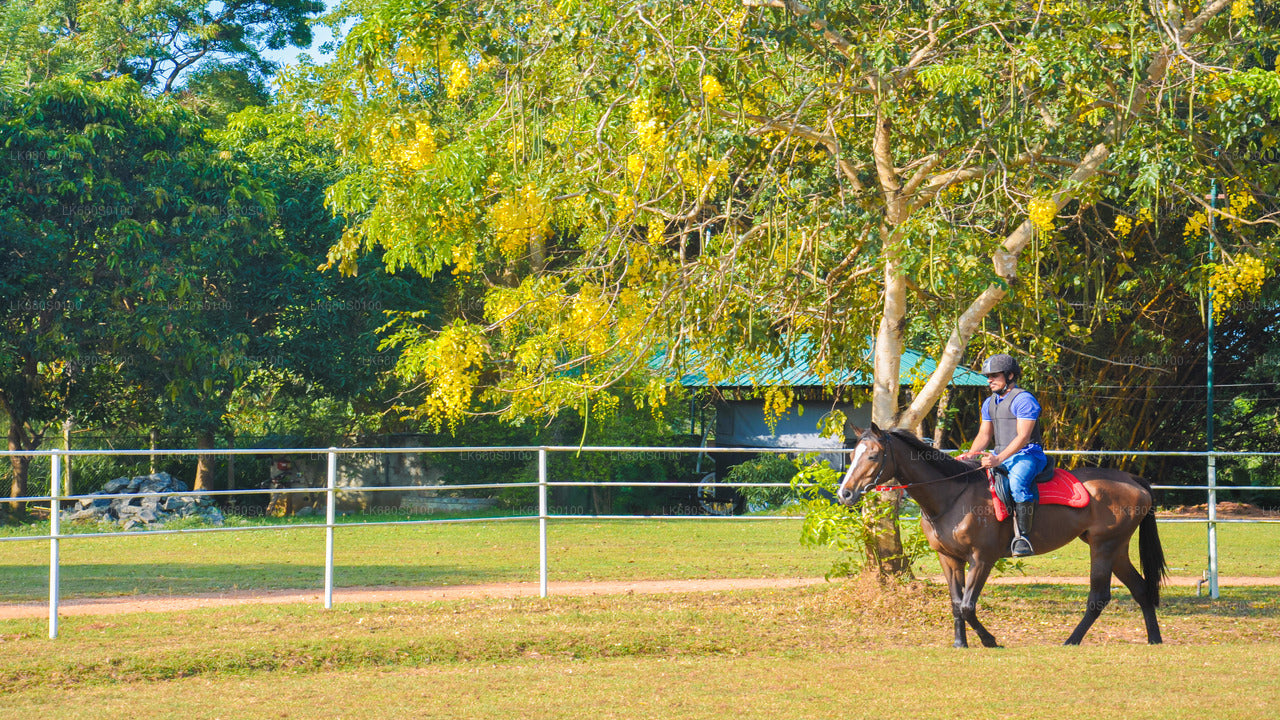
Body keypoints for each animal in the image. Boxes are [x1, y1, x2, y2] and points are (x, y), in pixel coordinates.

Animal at [835, 424, 1167, 647]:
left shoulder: (982, 559)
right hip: (1116, 549)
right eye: (853, 454)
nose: (845, 494)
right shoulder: (949, 559)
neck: (953, 495)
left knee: (1099, 598)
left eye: (874, 456)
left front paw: (989, 640)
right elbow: (956, 603)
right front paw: (960, 643)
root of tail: (1132, 480)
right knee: (1140, 589)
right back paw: (1154, 639)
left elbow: (968, 605)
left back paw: (1072, 640)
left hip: (1103, 547)